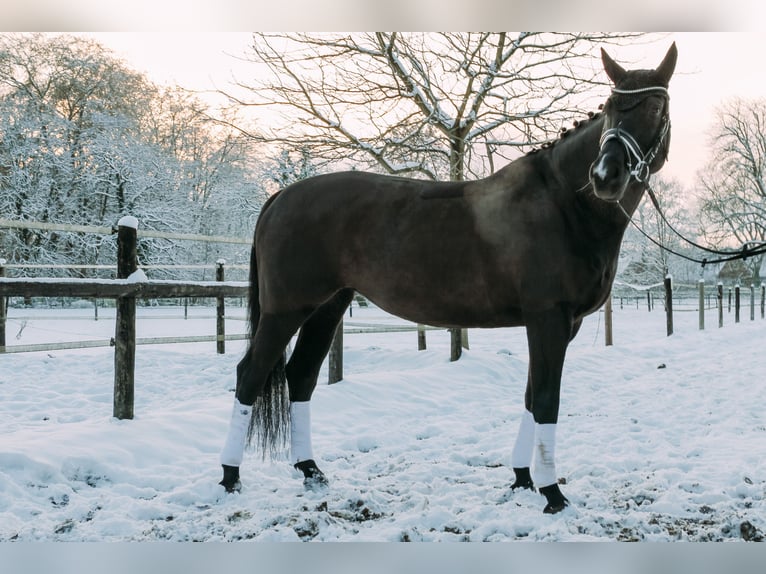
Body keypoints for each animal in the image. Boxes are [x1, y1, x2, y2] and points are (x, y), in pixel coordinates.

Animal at [218, 42, 680, 516]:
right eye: (611, 107)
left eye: (655, 107)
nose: (605, 177)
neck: (564, 204)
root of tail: (280, 197)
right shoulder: (548, 318)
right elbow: (547, 400)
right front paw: (553, 494)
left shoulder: (563, 325)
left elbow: (532, 395)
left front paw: (522, 478)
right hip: (286, 311)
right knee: (251, 375)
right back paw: (230, 477)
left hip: (327, 308)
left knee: (301, 376)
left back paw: (311, 471)